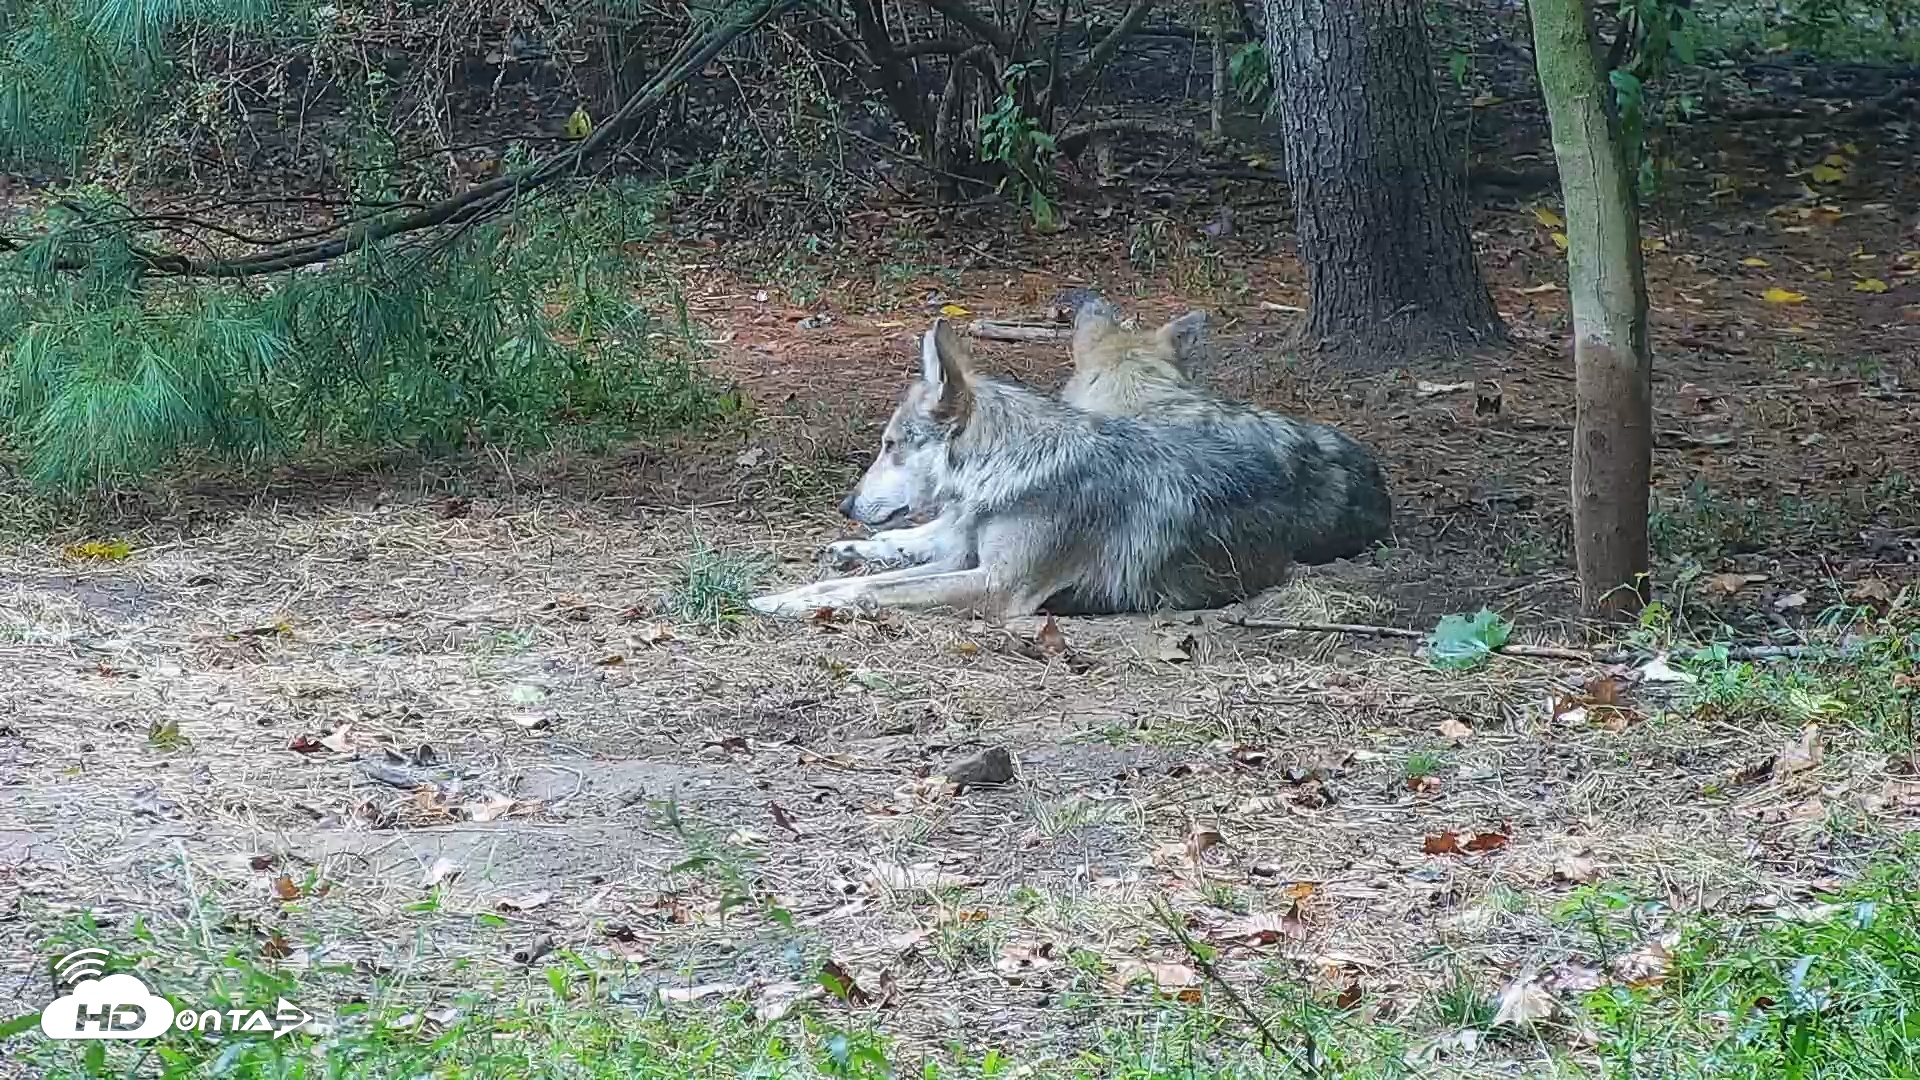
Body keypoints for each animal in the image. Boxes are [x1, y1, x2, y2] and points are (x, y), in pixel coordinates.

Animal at [752, 320, 1323, 619]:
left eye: (891, 445)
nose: (845, 505)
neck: (1011, 467)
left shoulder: (997, 585)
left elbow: (871, 590)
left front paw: (779, 603)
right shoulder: (968, 561)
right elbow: (858, 583)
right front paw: (792, 594)